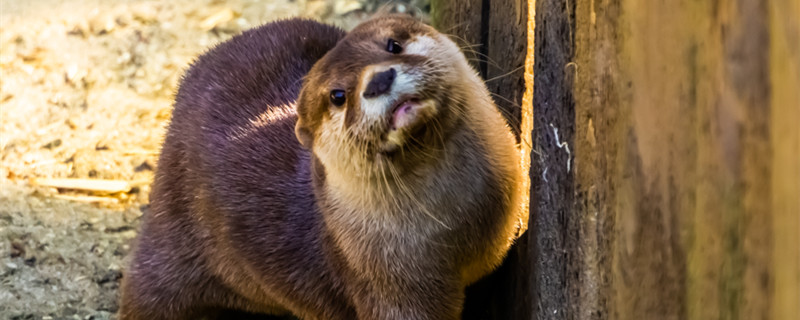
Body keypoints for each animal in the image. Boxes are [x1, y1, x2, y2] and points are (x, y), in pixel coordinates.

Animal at [117, 14, 520, 320]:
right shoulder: (391, 287)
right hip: (169, 243)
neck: (456, 225)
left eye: (393, 45)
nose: (379, 79)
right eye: (337, 96)